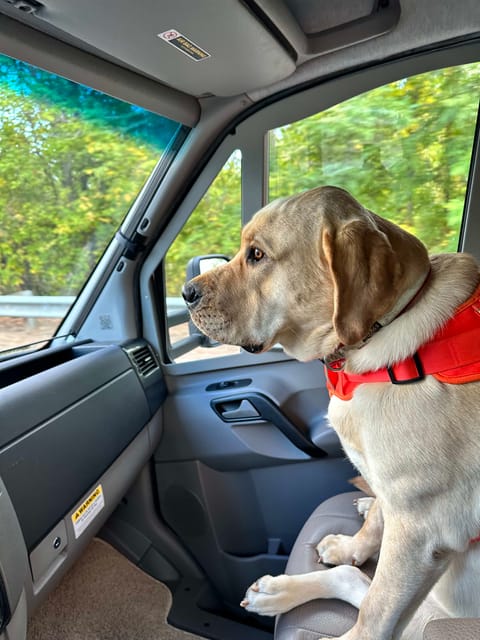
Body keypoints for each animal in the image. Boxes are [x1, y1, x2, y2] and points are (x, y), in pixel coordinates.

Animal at [181, 185, 480, 640]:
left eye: (256, 254)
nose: (185, 293)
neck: (380, 334)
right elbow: (373, 532)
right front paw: (351, 546)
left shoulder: (420, 531)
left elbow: (373, 614)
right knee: (354, 575)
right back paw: (282, 589)